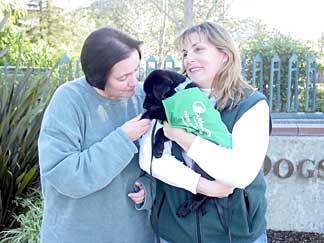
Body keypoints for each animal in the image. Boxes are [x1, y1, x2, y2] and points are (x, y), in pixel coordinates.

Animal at [142, 69, 215, 217]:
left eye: (149, 94)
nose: (143, 106)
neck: (177, 90)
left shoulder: (175, 119)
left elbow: (158, 113)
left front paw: (144, 115)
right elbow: (160, 132)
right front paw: (157, 149)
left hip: (203, 169)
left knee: (206, 191)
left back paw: (189, 206)